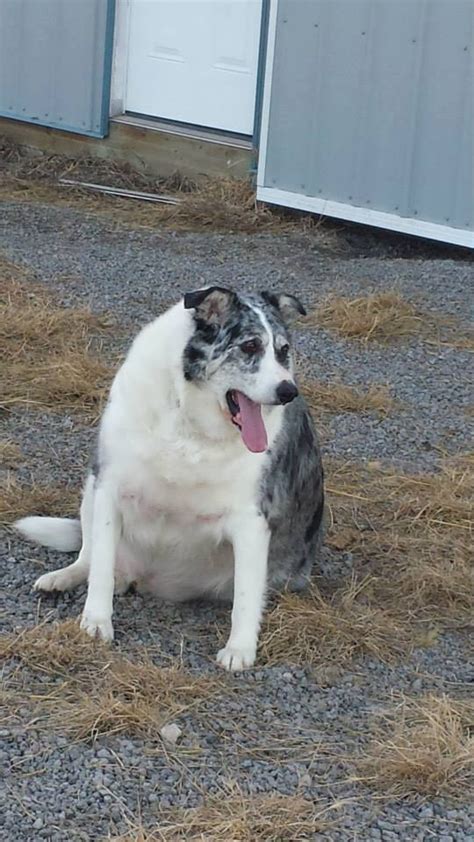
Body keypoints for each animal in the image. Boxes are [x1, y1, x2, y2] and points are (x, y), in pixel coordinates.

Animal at [15, 288, 326, 668]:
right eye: (251, 346)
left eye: (283, 351)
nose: (287, 391)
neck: (190, 422)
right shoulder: (109, 490)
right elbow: (100, 568)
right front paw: (96, 622)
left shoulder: (251, 522)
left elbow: (246, 596)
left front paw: (240, 649)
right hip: (90, 488)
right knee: (88, 557)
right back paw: (63, 578)